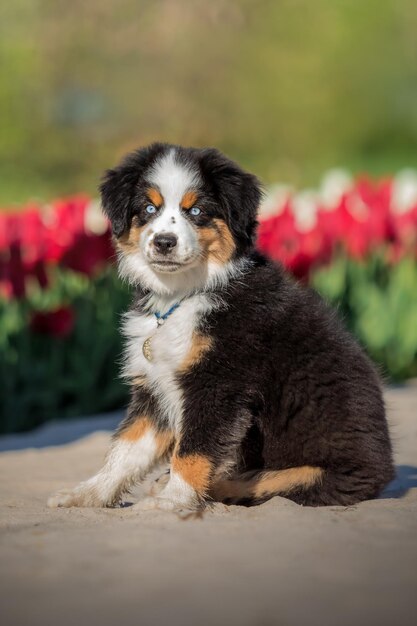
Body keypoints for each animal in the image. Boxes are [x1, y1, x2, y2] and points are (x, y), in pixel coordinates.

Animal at [48, 144, 394, 510]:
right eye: (149, 208)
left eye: (196, 210)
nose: (164, 242)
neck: (183, 295)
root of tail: (384, 469)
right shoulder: (155, 387)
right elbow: (126, 450)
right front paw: (87, 494)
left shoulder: (219, 385)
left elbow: (193, 450)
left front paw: (172, 501)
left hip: (320, 473)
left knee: (262, 482)